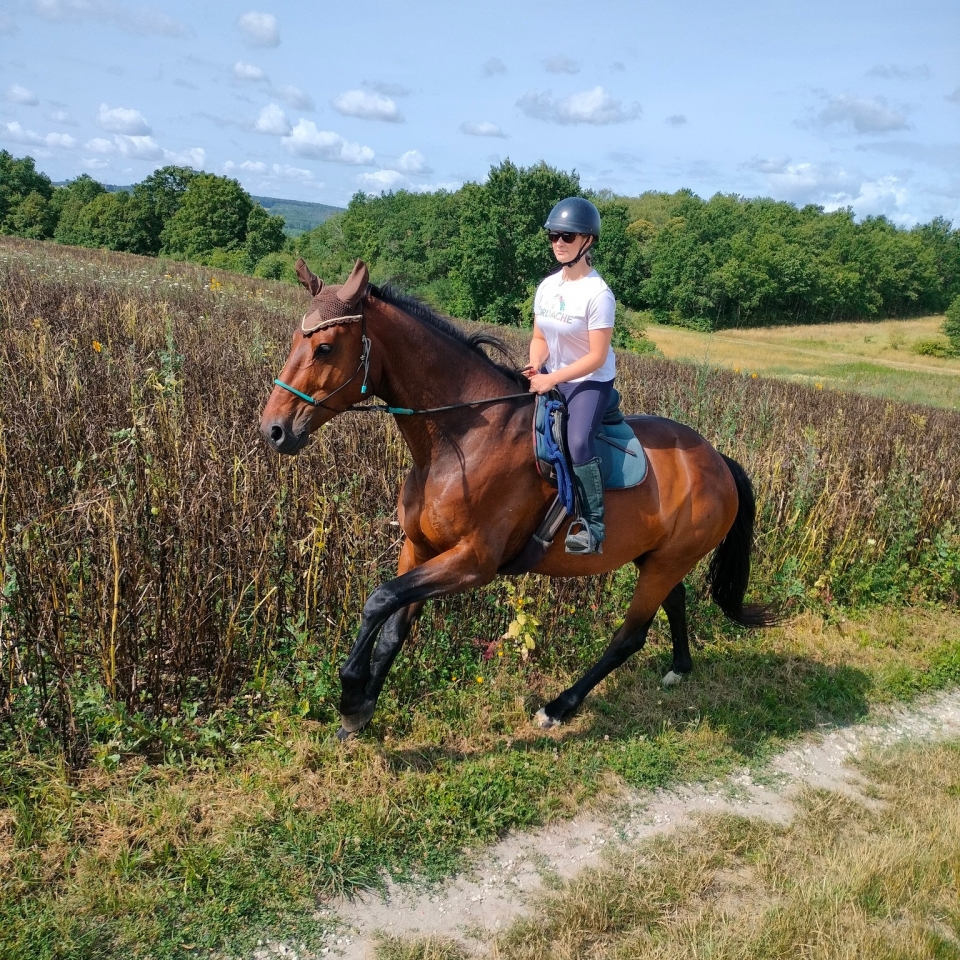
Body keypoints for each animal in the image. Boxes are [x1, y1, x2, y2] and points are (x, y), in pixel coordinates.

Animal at [260, 258, 777, 740]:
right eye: (296, 339)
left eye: (325, 347)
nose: (274, 430)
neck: (459, 437)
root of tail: (717, 460)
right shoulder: (419, 548)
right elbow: (392, 625)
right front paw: (364, 706)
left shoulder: (473, 561)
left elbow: (379, 600)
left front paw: (350, 696)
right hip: (658, 556)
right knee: (676, 599)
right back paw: (678, 667)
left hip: (666, 561)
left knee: (630, 636)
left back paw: (559, 707)